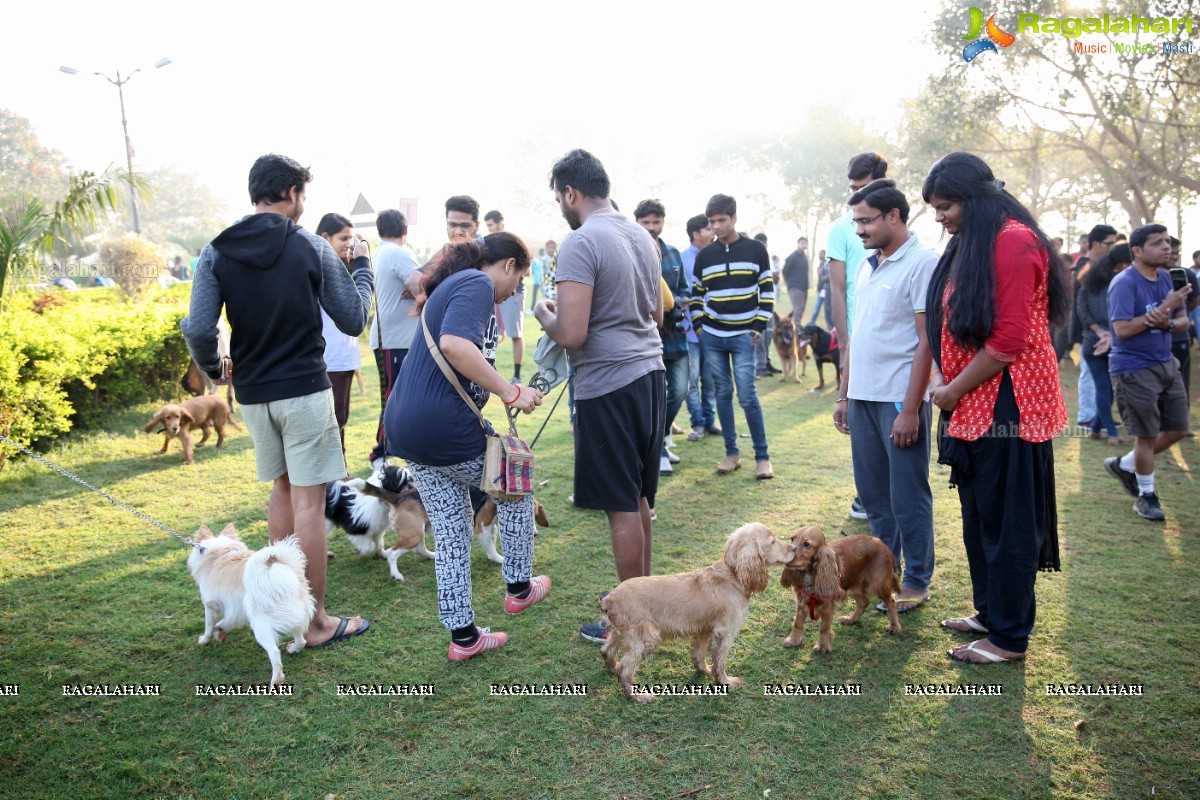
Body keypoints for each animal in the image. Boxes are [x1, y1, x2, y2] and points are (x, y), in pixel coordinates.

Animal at [186, 525, 314, 690]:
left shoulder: (211, 605)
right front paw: (220, 632)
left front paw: (205, 640)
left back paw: (276, 681)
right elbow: (226, 623)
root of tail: (274, 568)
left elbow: (209, 625)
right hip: (297, 614)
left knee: (274, 653)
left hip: (261, 625)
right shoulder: (237, 609)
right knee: (301, 640)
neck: (218, 551)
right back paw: (293, 649)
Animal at [600, 525, 796, 700]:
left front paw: (705, 670)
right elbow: (720, 661)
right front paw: (725, 681)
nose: (794, 548)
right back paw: (638, 696)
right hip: (646, 637)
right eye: (772, 541)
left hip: (621, 633)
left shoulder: (703, 629)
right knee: (625, 669)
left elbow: (700, 655)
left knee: (606, 650)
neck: (732, 574)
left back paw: (613, 669)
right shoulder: (725, 632)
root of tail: (609, 599)